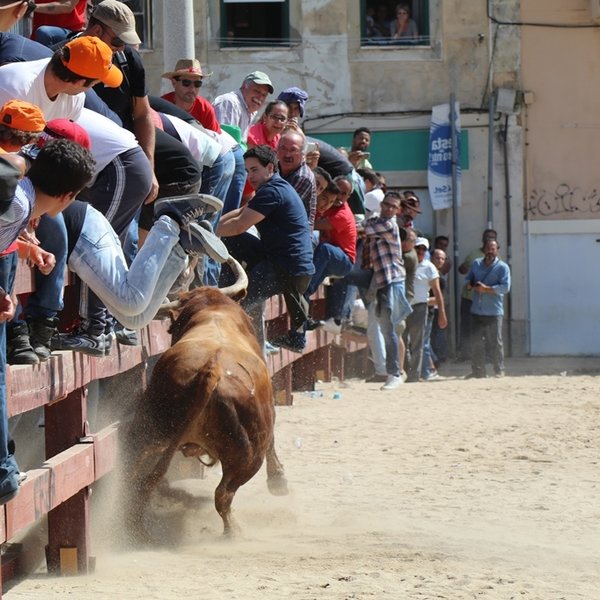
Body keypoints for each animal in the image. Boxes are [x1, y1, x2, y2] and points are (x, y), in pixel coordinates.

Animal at [123, 264, 288, 536]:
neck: (214, 313)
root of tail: (210, 370)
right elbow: (273, 441)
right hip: (249, 455)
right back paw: (233, 532)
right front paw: (279, 481)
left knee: (136, 479)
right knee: (223, 494)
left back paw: (135, 527)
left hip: (148, 431)